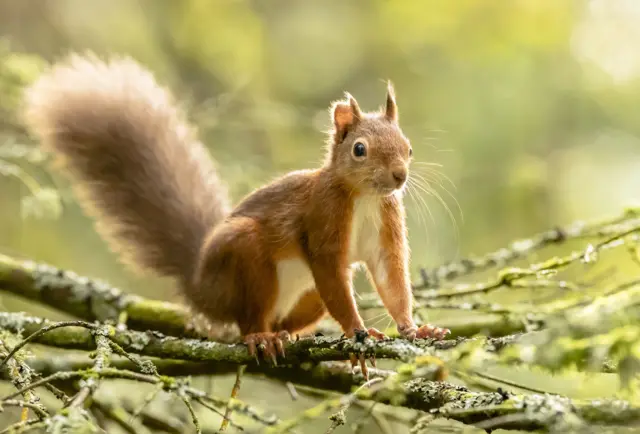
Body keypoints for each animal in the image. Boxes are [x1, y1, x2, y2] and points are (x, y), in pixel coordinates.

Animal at [23, 53, 450, 372]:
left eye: (408, 147)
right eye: (360, 149)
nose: (399, 175)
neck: (364, 197)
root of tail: (199, 286)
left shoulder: (386, 224)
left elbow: (391, 278)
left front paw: (414, 329)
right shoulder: (323, 220)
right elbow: (332, 274)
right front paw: (359, 332)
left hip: (305, 296)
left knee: (288, 317)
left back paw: (288, 335)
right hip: (243, 259)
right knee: (248, 317)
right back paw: (261, 337)